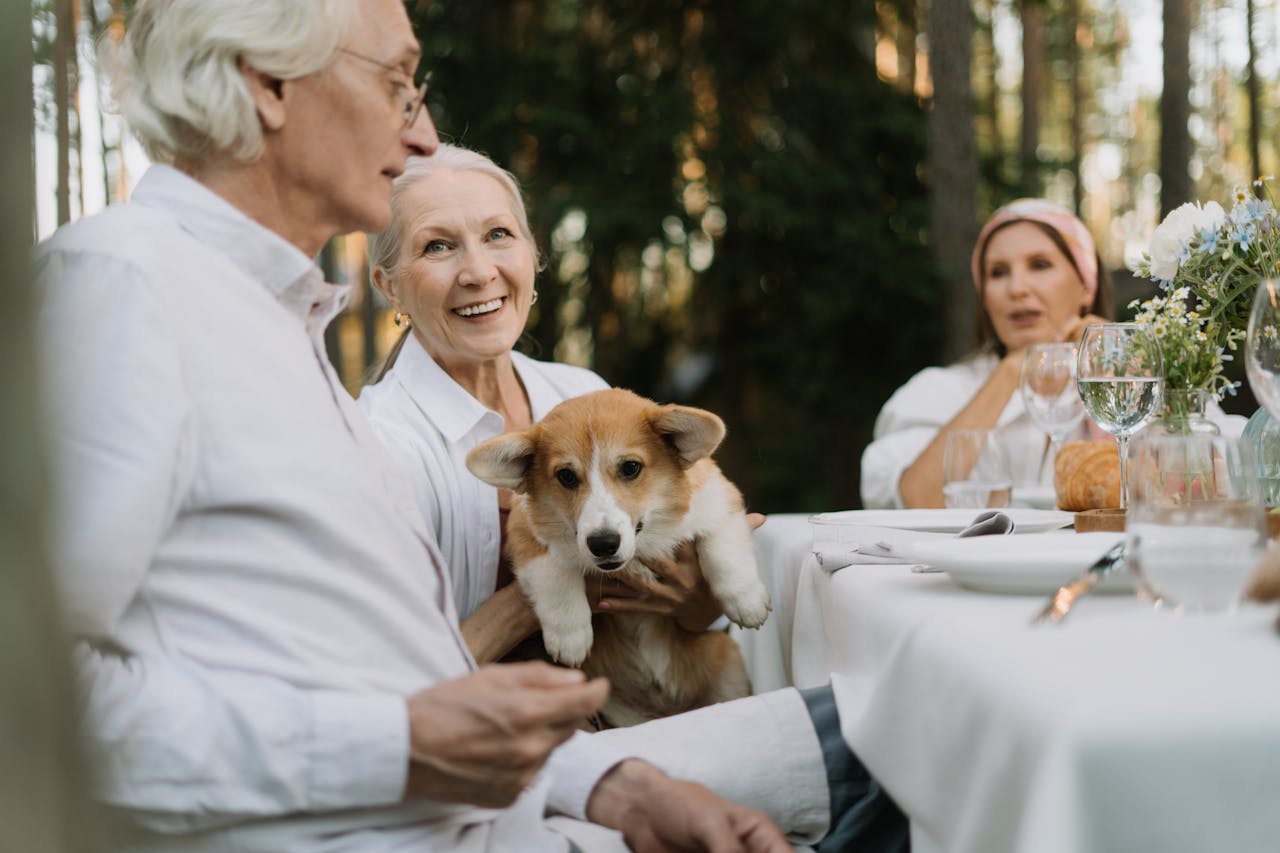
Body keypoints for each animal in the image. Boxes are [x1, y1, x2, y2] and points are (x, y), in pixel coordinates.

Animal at [468, 384, 768, 722]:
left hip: (729, 672)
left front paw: (747, 601)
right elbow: (554, 574)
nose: (603, 543)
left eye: (630, 468)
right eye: (566, 476)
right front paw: (571, 636)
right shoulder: (525, 532)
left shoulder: (719, 501)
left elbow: (722, 550)